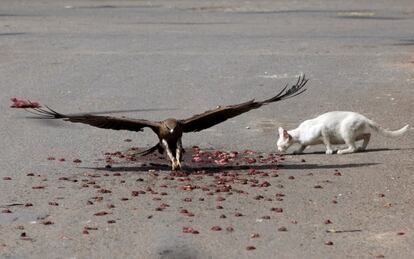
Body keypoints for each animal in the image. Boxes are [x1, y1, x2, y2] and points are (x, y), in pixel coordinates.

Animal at [276, 111, 410, 155]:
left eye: (280, 145)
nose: (278, 150)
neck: (300, 133)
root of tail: (364, 117)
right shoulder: (305, 141)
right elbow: (303, 145)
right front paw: (298, 151)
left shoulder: (323, 131)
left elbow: (327, 142)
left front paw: (330, 151)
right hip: (353, 134)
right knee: (368, 135)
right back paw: (362, 147)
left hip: (346, 131)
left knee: (353, 148)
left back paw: (341, 151)